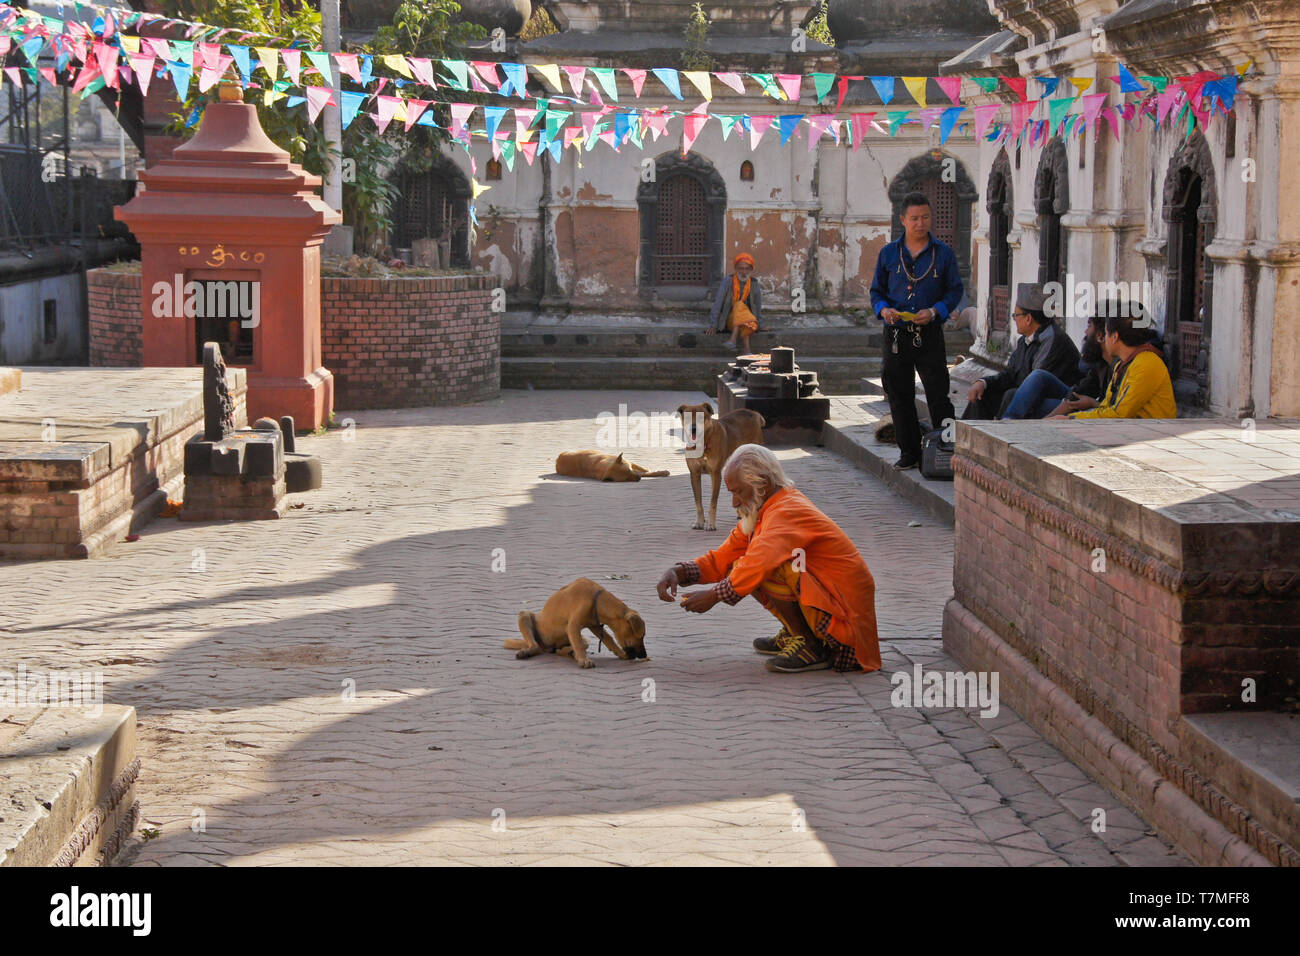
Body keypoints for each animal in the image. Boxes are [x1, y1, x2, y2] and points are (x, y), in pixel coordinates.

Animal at [506, 580, 650, 671]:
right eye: (641, 635)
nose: (644, 655)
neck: (595, 599)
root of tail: (545, 647)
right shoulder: (573, 626)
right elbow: (579, 644)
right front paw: (584, 660)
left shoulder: (595, 626)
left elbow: (609, 639)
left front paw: (620, 653)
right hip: (524, 615)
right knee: (534, 645)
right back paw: (526, 651)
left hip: (582, 639)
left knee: (564, 650)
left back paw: (569, 652)